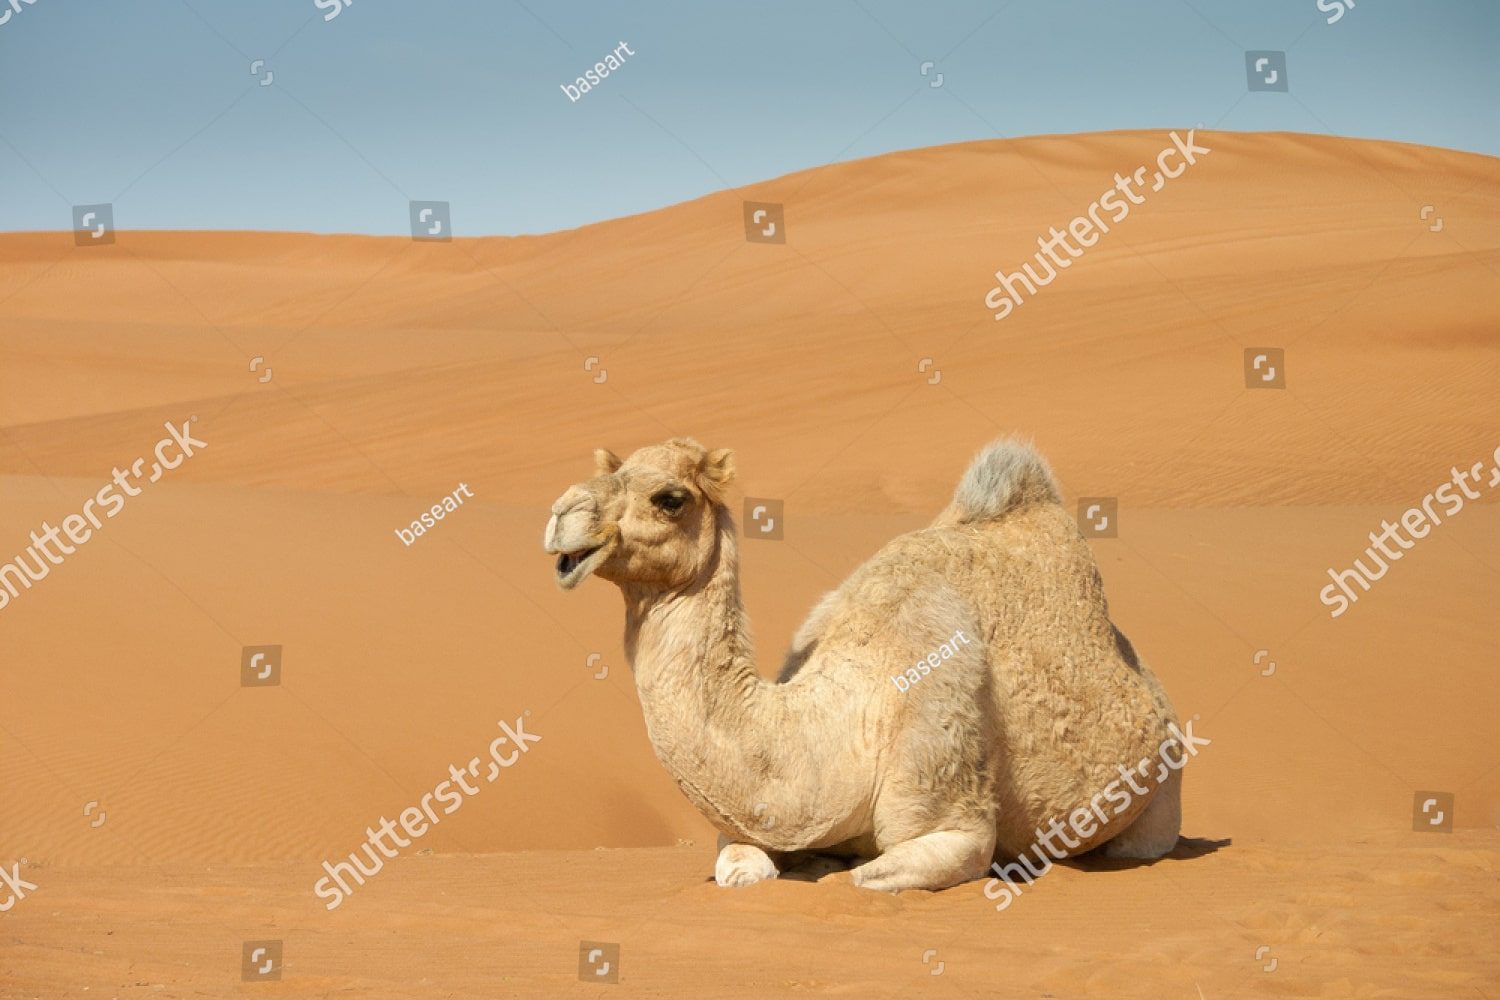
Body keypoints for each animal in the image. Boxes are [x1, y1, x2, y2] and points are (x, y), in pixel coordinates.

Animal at [543, 437, 1183, 892]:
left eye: (670, 498)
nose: (560, 514)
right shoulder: (754, 822)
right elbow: (738, 866)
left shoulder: (951, 821)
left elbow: (866, 877)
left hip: (1165, 788)